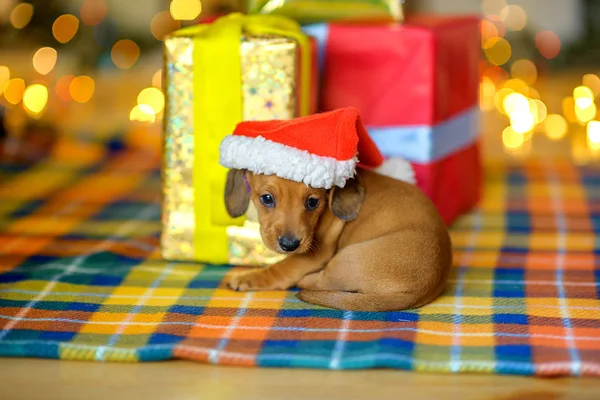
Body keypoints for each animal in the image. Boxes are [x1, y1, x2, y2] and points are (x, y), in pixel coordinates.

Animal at [224, 167, 450, 310]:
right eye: (266, 199)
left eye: (312, 202)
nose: (290, 245)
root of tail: (422, 288)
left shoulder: (316, 253)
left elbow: (281, 268)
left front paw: (247, 278)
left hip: (346, 257)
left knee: (321, 281)